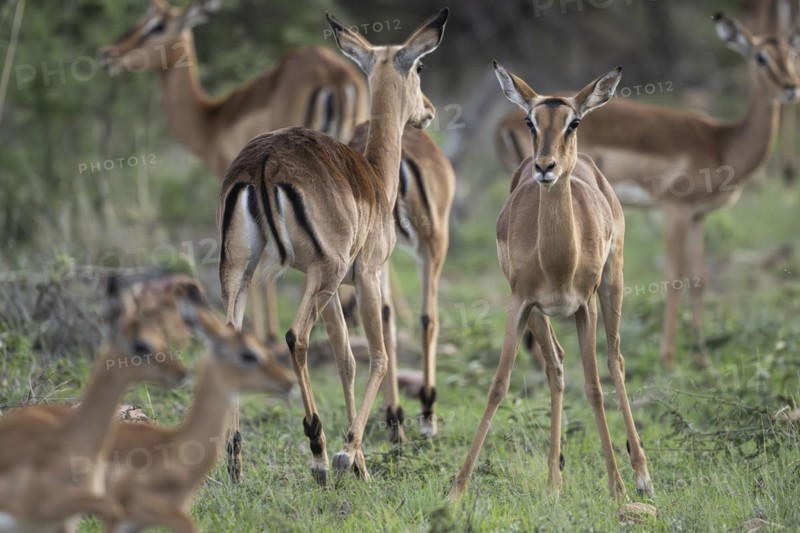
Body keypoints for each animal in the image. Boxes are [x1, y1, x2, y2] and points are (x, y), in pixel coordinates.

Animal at [450, 62, 653, 501]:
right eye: (531, 121)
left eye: (573, 122)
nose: (545, 167)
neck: (560, 261)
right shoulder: (521, 302)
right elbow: (499, 384)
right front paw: (457, 488)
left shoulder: (584, 306)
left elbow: (593, 387)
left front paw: (618, 489)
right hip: (540, 314)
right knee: (557, 366)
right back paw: (553, 481)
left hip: (612, 283)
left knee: (615, 361)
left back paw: (642, 476)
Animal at [494, 13, 800, 367]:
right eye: (761, 57)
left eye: (793, 54)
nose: (791, 88)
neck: (721, 143)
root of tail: (504, 123)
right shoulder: (675, 209)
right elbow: (674, 277)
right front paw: (668, 357)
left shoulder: (698, 216)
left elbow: (700, 278)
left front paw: (701, 355)